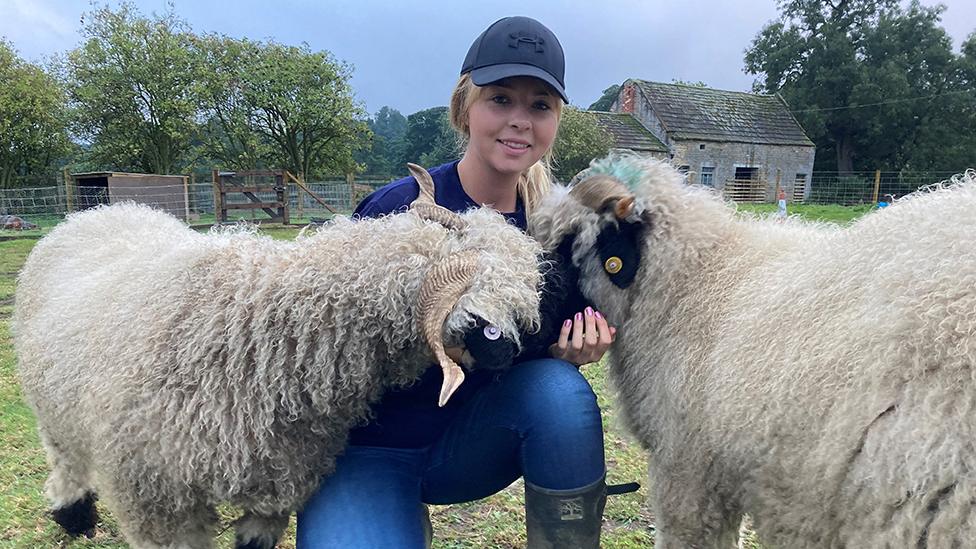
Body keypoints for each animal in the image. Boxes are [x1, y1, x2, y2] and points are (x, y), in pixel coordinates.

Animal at [15, 166, 544, 548]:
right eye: (485, 317)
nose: (509, 354)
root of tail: (95, 214)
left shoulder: (280, 484)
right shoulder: (155, 499)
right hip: (52, 407)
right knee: (63, 456)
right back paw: (73, 514)